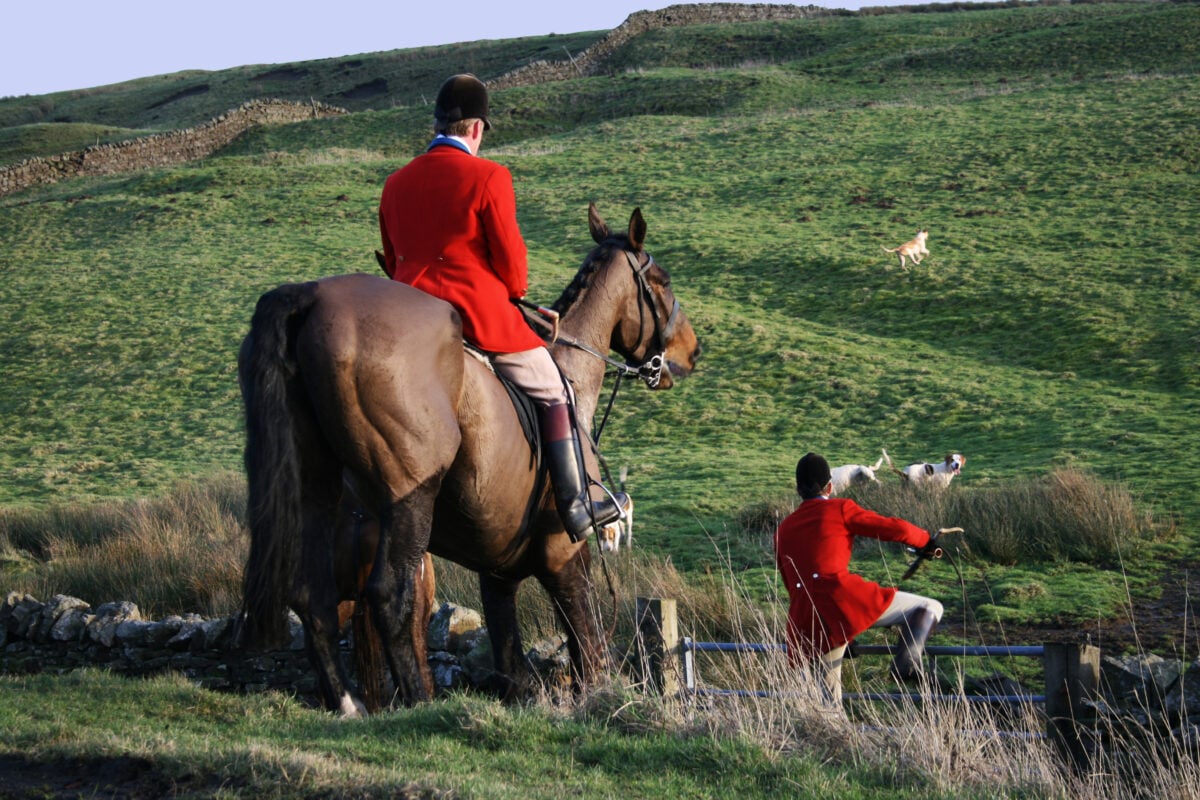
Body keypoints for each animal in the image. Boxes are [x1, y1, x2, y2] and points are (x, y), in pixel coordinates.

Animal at [235, 205, 700, 714]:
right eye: (662, 280)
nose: (691, 351)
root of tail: (309, 297)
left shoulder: (498, 571)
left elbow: (511, 659)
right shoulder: (564, 555)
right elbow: (587, 649)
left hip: (316, 496)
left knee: (313, 597)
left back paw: (348, 705)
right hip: (409, 498)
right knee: (389, 600)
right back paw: (419, 703)